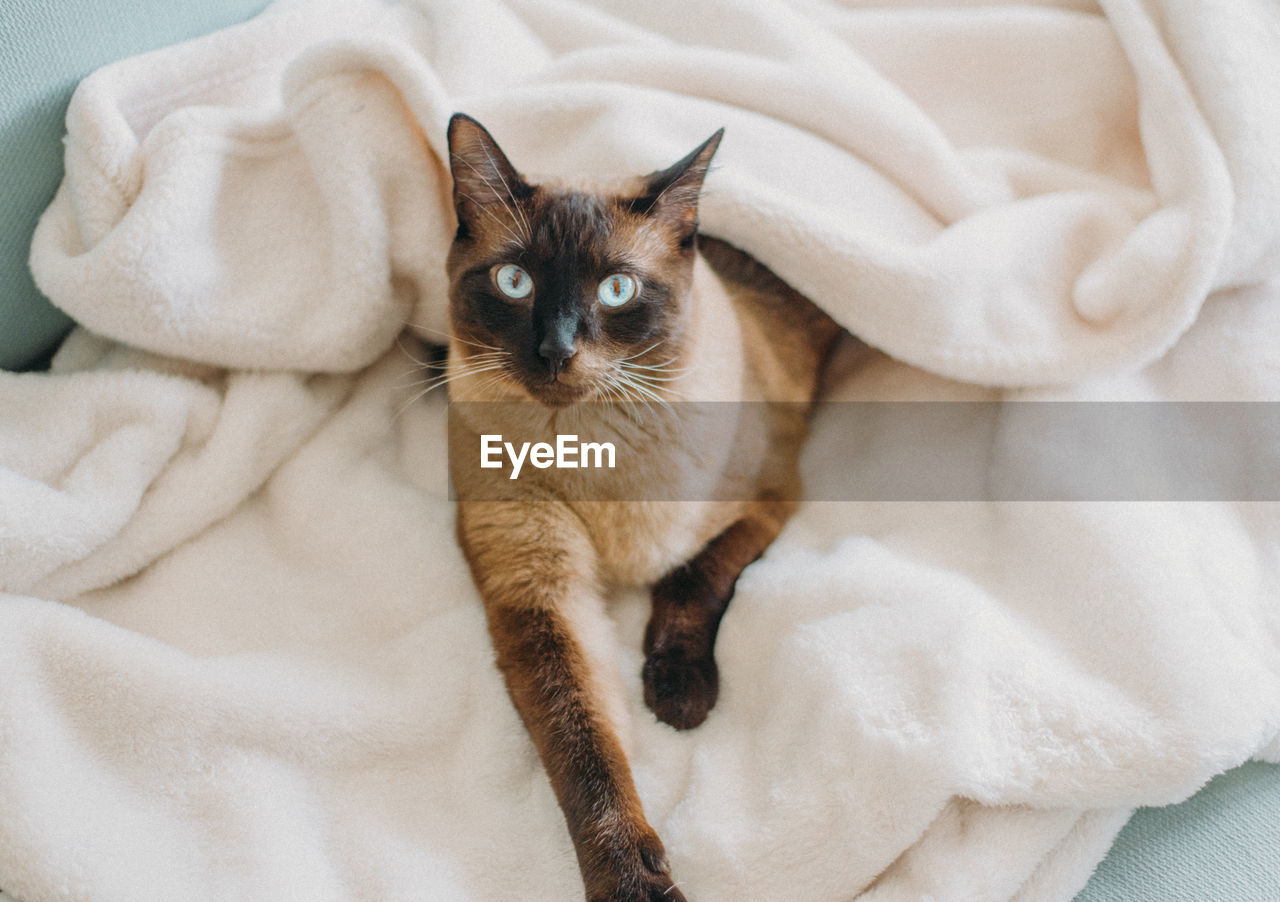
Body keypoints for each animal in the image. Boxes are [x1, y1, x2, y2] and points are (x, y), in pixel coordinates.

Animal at [445, 114, 844, 900]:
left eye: (618, 290)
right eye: (515, 281)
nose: (555, 351)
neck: (593, 456)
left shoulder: (768, 493)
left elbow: (693, 578)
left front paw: (679, 698)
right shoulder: (541, 591)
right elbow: (588, 750)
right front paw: (631, 883)